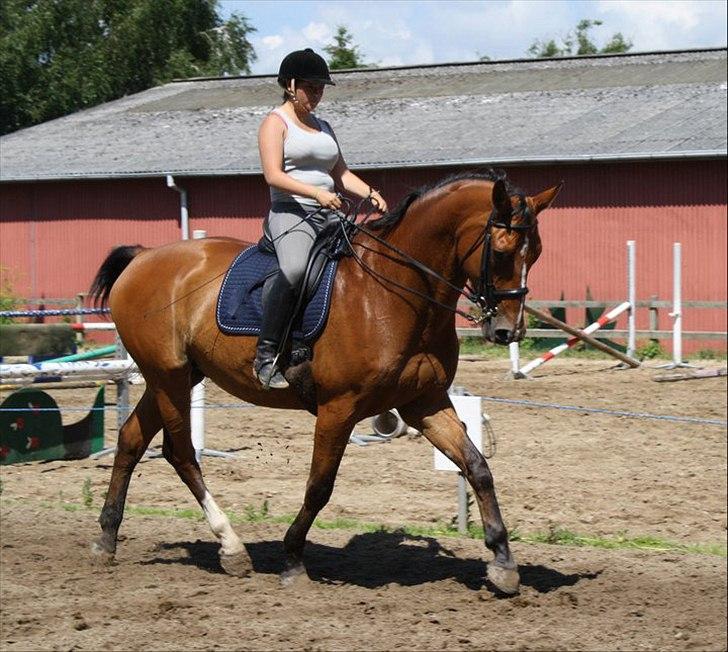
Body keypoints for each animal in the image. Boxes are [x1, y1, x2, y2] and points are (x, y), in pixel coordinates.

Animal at [88, 171, 560, 592]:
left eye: (536, 252)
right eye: (503, 252)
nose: (509, 331)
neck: (395, 293)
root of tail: (144, 255)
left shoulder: (424, 402)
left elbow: (477, 467)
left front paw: (503, 563)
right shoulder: (339, 407)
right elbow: (320, 486)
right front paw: (293, 559)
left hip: (174, 377)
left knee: (131, 440)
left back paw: (106, 540)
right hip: (168, 378)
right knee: (182, 453)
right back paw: (231, 547)